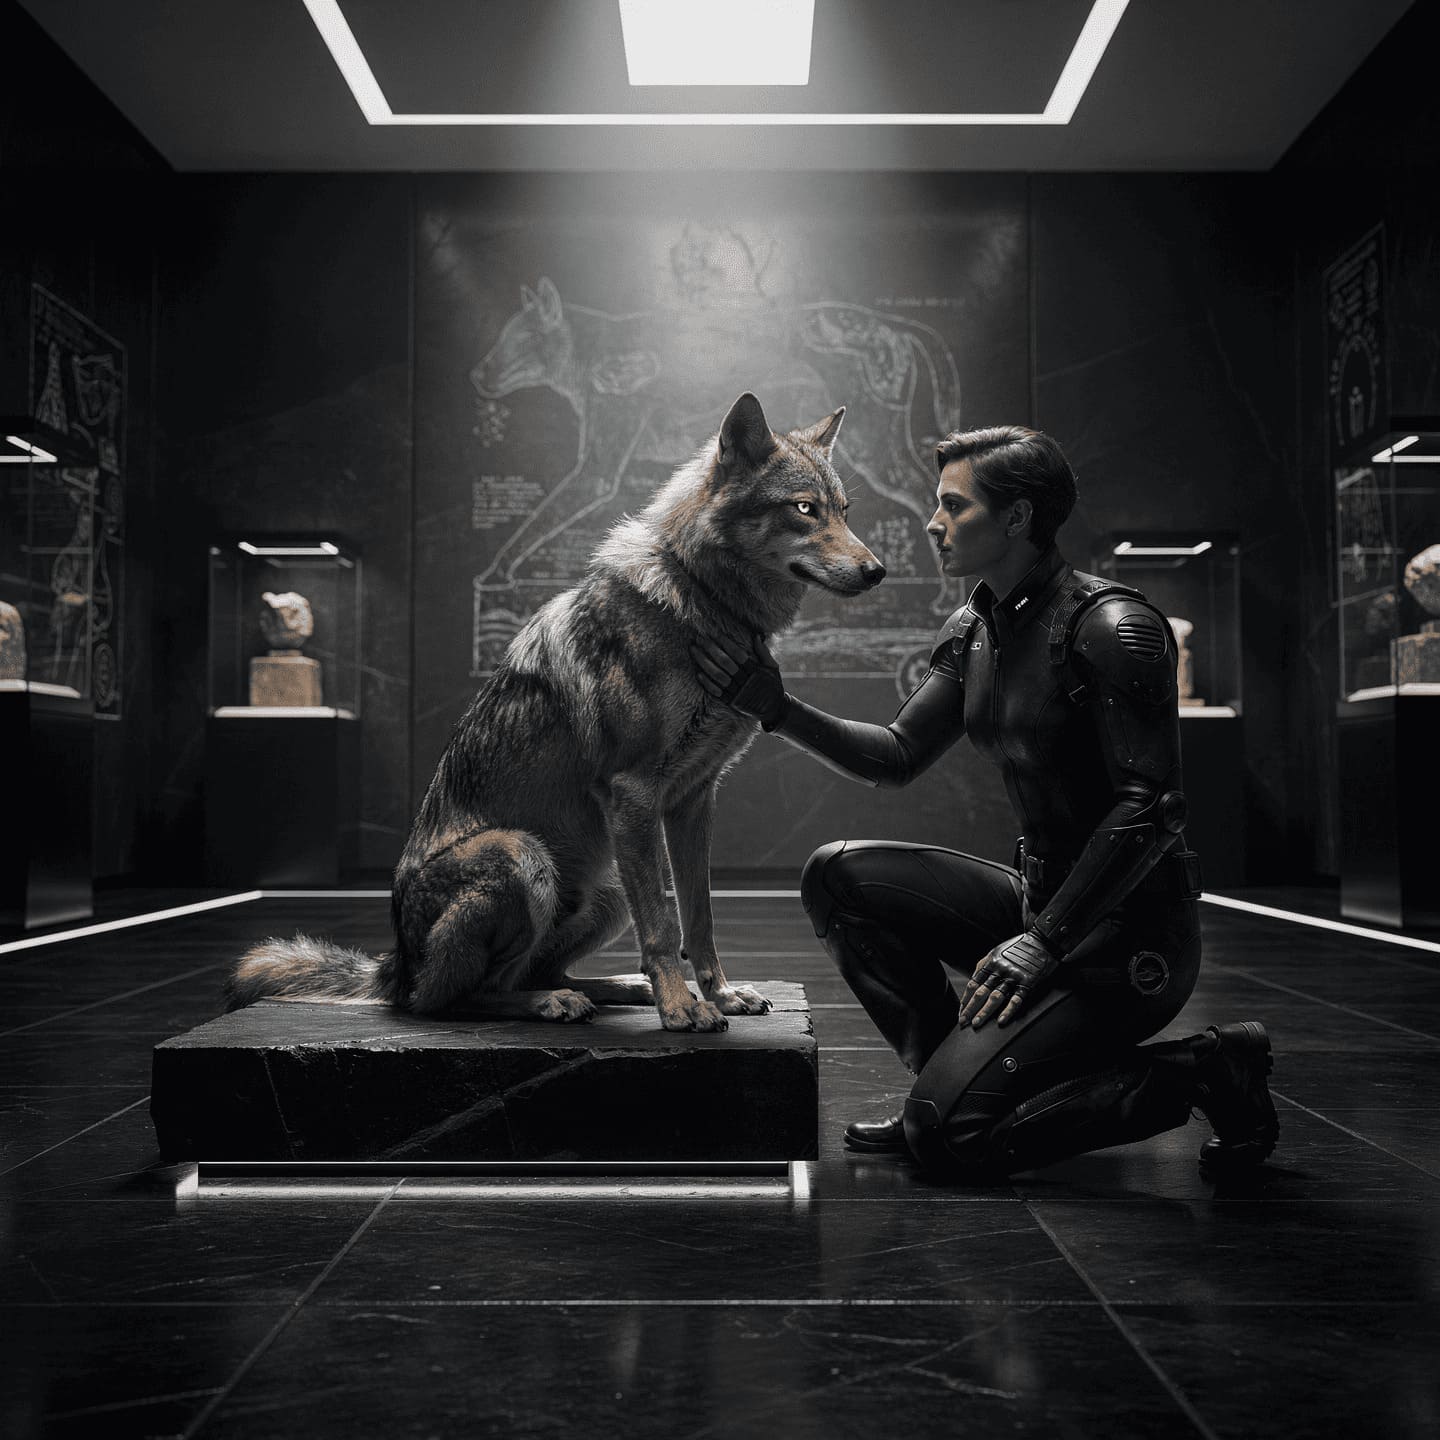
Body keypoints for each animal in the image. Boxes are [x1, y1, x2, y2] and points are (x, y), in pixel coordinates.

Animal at [226, 392, 885, 1032]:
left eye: (844, 510)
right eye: (804, 509)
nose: (877, 571)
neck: (702, 602)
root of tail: (396, 964)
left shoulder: (694, 800)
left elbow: (698, 918)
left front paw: (719, 996)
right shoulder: (635, 795)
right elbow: (664, 926)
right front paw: (682, 1010)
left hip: (606, 884)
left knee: (533, 972)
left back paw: (611, 989)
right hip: (525, 855)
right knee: (455, 999)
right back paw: (557, 1004)